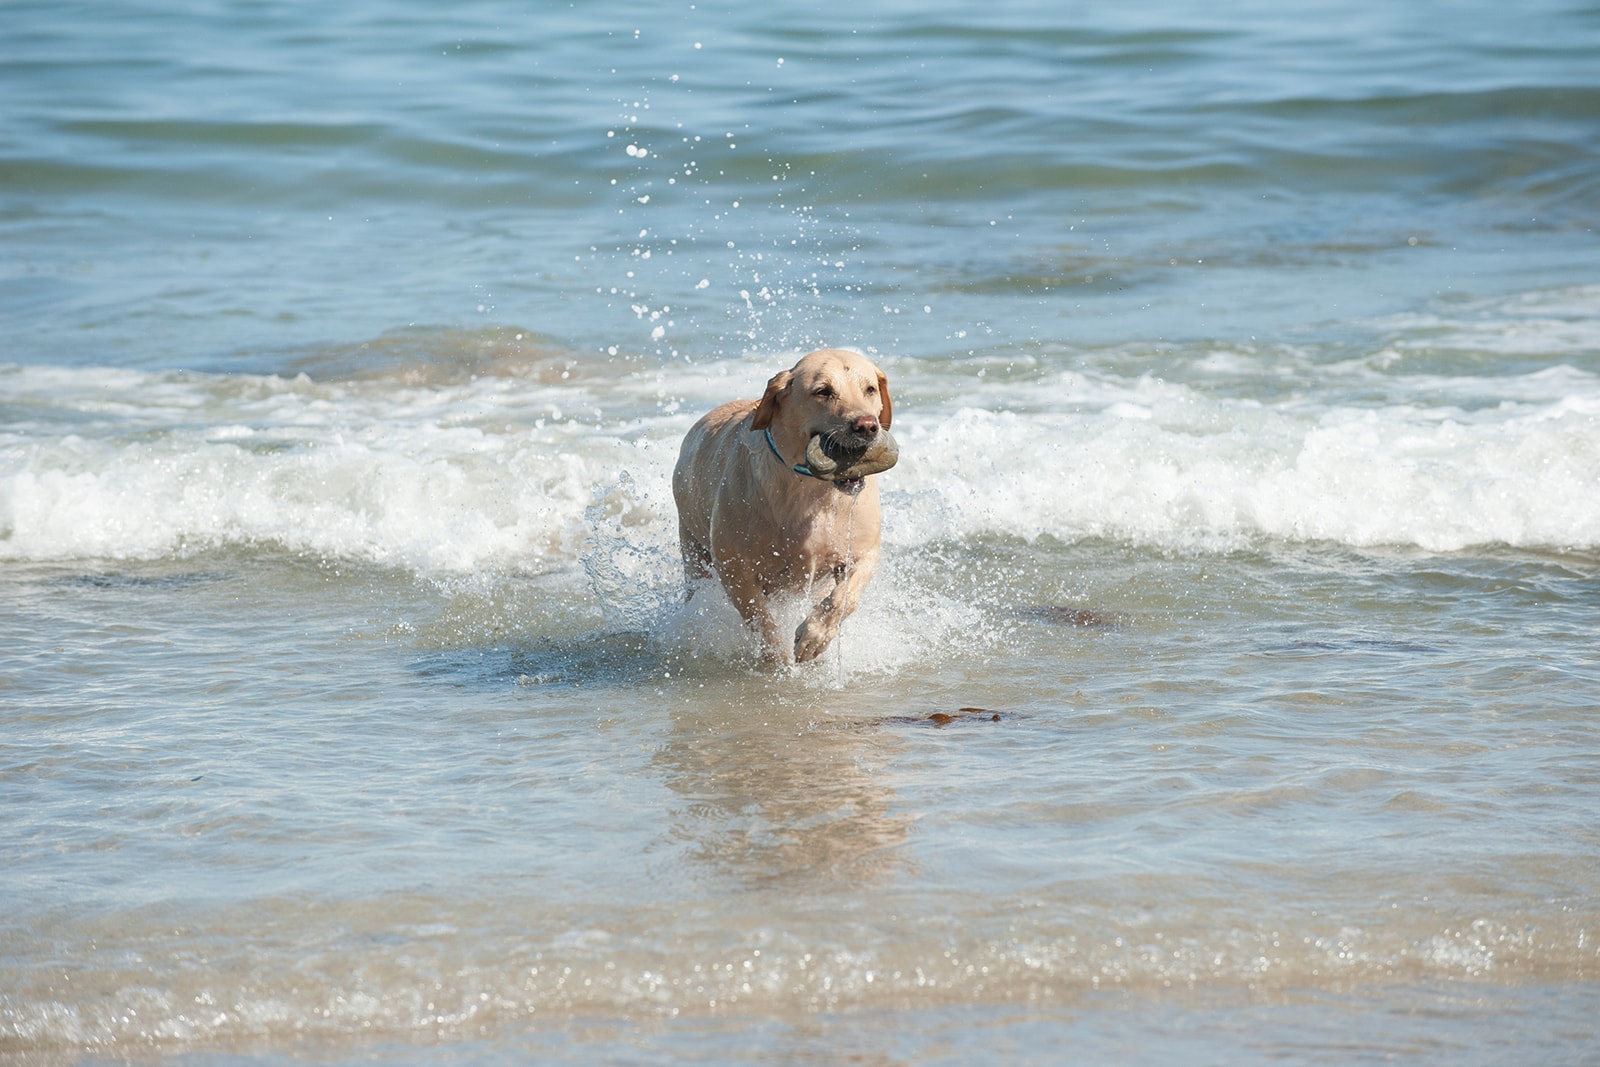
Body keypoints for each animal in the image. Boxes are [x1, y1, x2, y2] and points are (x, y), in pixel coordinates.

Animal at [668, 350, 902, 668]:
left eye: (870, 389)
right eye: (823, 391)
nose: (866, 426)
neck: (813, 491)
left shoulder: (862, 553)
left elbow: (843, 597)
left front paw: (814, 638)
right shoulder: (734, 567)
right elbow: (758, 616)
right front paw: (777, 659)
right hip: (693, 551)